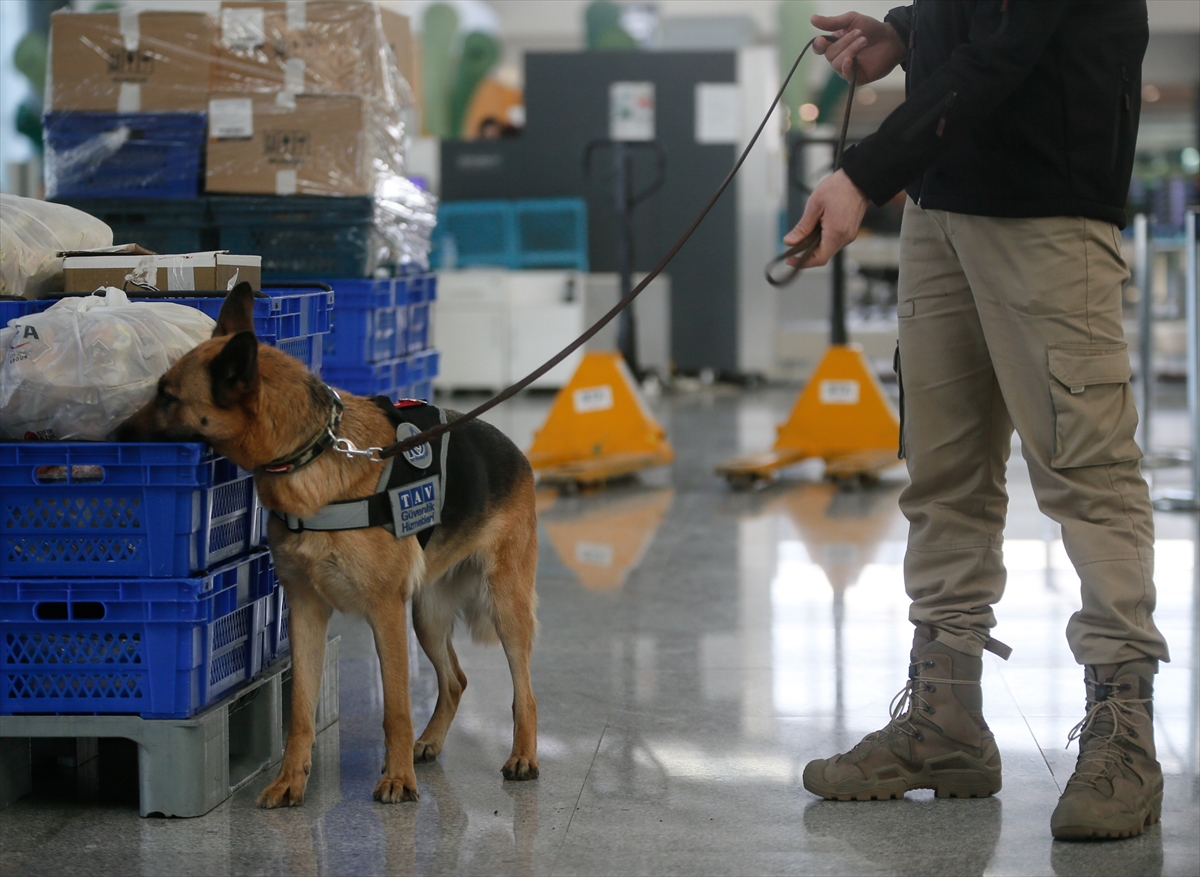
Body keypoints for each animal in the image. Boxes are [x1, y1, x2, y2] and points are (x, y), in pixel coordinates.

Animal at [117, 284, 540, 806]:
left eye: (168, 396)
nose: (115, 436)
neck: (311, 453)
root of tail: (516, 453)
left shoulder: (384, 610)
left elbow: (395, 708)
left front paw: (398, 779)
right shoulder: (305, 610)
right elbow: (300, 710)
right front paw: (290, 780)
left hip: (503, 606)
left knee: (524, 691)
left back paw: (522, 755)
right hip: (427, 615)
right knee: (456, 680)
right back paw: (430, 741)